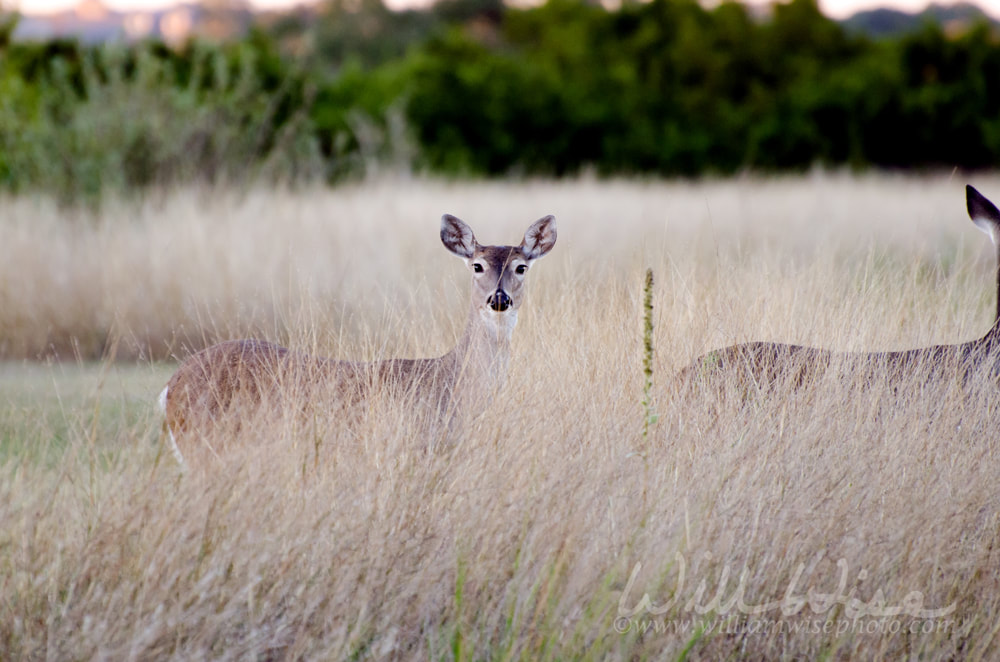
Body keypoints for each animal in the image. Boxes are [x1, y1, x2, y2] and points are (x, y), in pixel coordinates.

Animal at [160, 215, 560, 464]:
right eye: (477, 265)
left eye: (521, 267)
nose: (499, 298)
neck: (449, 383)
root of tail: (170, 386)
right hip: (205, 444)